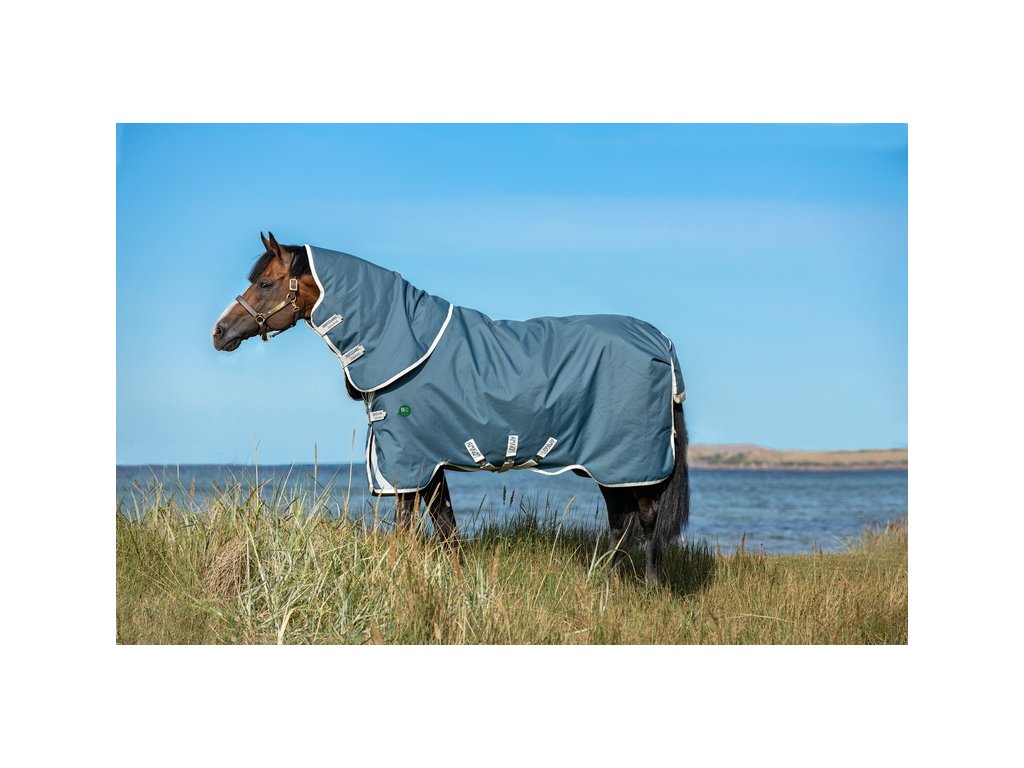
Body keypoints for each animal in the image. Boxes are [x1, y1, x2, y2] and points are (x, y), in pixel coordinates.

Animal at [212, 232, 690, 584]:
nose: (219, 332)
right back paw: (602, 581)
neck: (404, 345)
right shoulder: (430, 461)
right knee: (623, 523)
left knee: (646, 519)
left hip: (627, 461)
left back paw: (648, 586)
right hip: (611, 467)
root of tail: (660, 341)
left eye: (265, 283)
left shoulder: (408, 459)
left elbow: (409, 527)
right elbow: (446, 528)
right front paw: (458, 583)